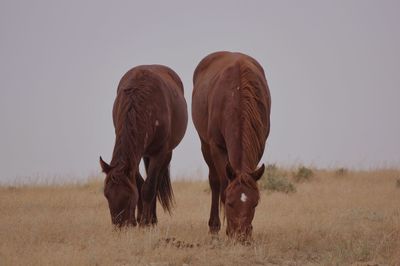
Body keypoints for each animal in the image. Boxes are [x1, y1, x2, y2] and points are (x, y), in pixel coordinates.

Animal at [100, 64, 188, 227]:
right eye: (106, 195)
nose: (120, 226)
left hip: (166, 154)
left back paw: (152, 219)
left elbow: (148, 187)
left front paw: (146, 222)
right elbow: (140, 184)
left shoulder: (160, 152)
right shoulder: (135, 156)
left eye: (128, 197)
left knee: (156, 183)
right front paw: (140, 219)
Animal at [191, 51, 272, 240]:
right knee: (214, 181)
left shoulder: (259, 146)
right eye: (229, 202)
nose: (241, 236)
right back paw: (214, 226)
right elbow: (221, 183)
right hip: (205, 145)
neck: (237, 94)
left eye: (255, 203)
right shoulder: (216, 146)